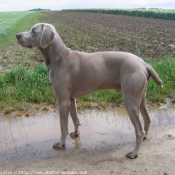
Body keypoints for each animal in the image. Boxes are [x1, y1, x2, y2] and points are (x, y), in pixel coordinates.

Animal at [16, 22, 163, 159]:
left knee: (139, 130)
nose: (17, 35)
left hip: (130, 100)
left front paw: (61, 143)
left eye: (33, 31)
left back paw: (134, 153)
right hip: (140, 96)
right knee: (147, 119)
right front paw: (76, 134)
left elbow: (63, 126)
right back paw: (144, 139)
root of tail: (143, 63)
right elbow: (75, 119)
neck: (59, 58)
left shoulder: (62, 101)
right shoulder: (71, 99)